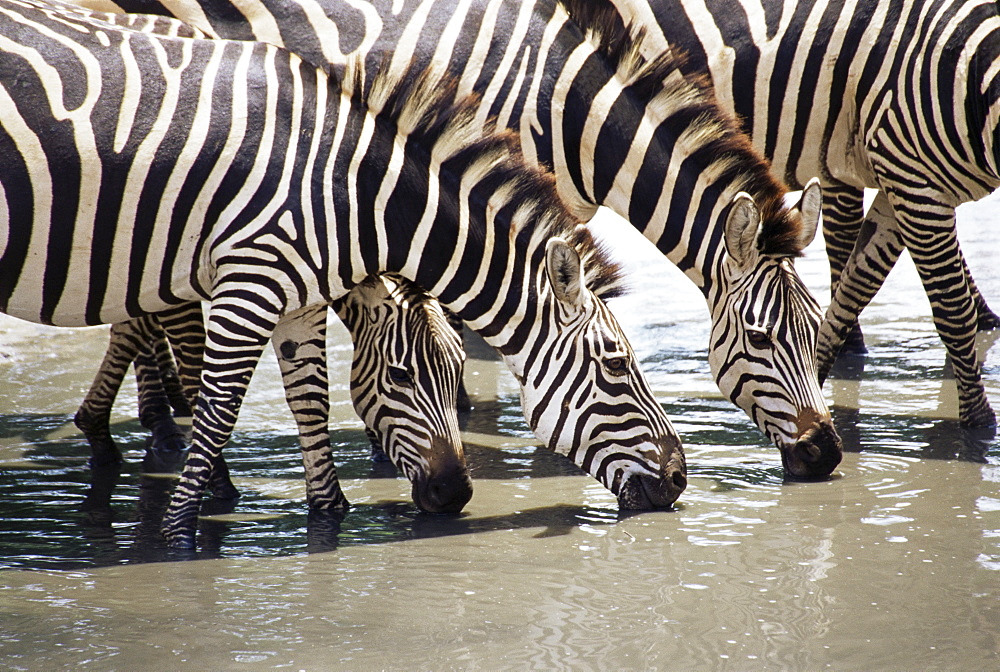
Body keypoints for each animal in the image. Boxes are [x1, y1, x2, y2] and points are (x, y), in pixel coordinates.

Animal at [0, 0, 688, 548]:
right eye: (616, 367)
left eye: (457, 373)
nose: (681, 476)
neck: (349, 192)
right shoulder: (249, 282)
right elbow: (219, 408)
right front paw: (177, 537)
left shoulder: (297, 297)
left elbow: (309, 401)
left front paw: (329, 520)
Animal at [608, 1, 1000, 426]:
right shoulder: (911, 173)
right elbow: (952, 310)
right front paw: (980, 424)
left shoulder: (901, 178)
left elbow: (854, 287)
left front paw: (821, 375)